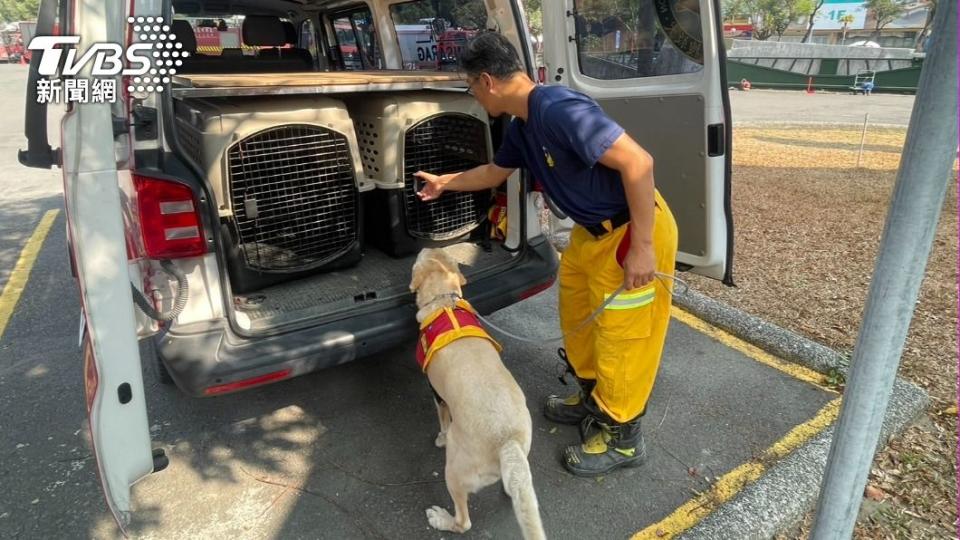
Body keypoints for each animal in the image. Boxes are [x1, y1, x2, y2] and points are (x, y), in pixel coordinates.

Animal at [408, 250, 548, 540]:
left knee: (464, 522)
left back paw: (441, 518)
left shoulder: (437, 394)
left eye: (421, 257)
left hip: (454, 469)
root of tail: (507, 442)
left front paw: (439, 438)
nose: (423, 247)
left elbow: (442, 421)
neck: (445, 301)